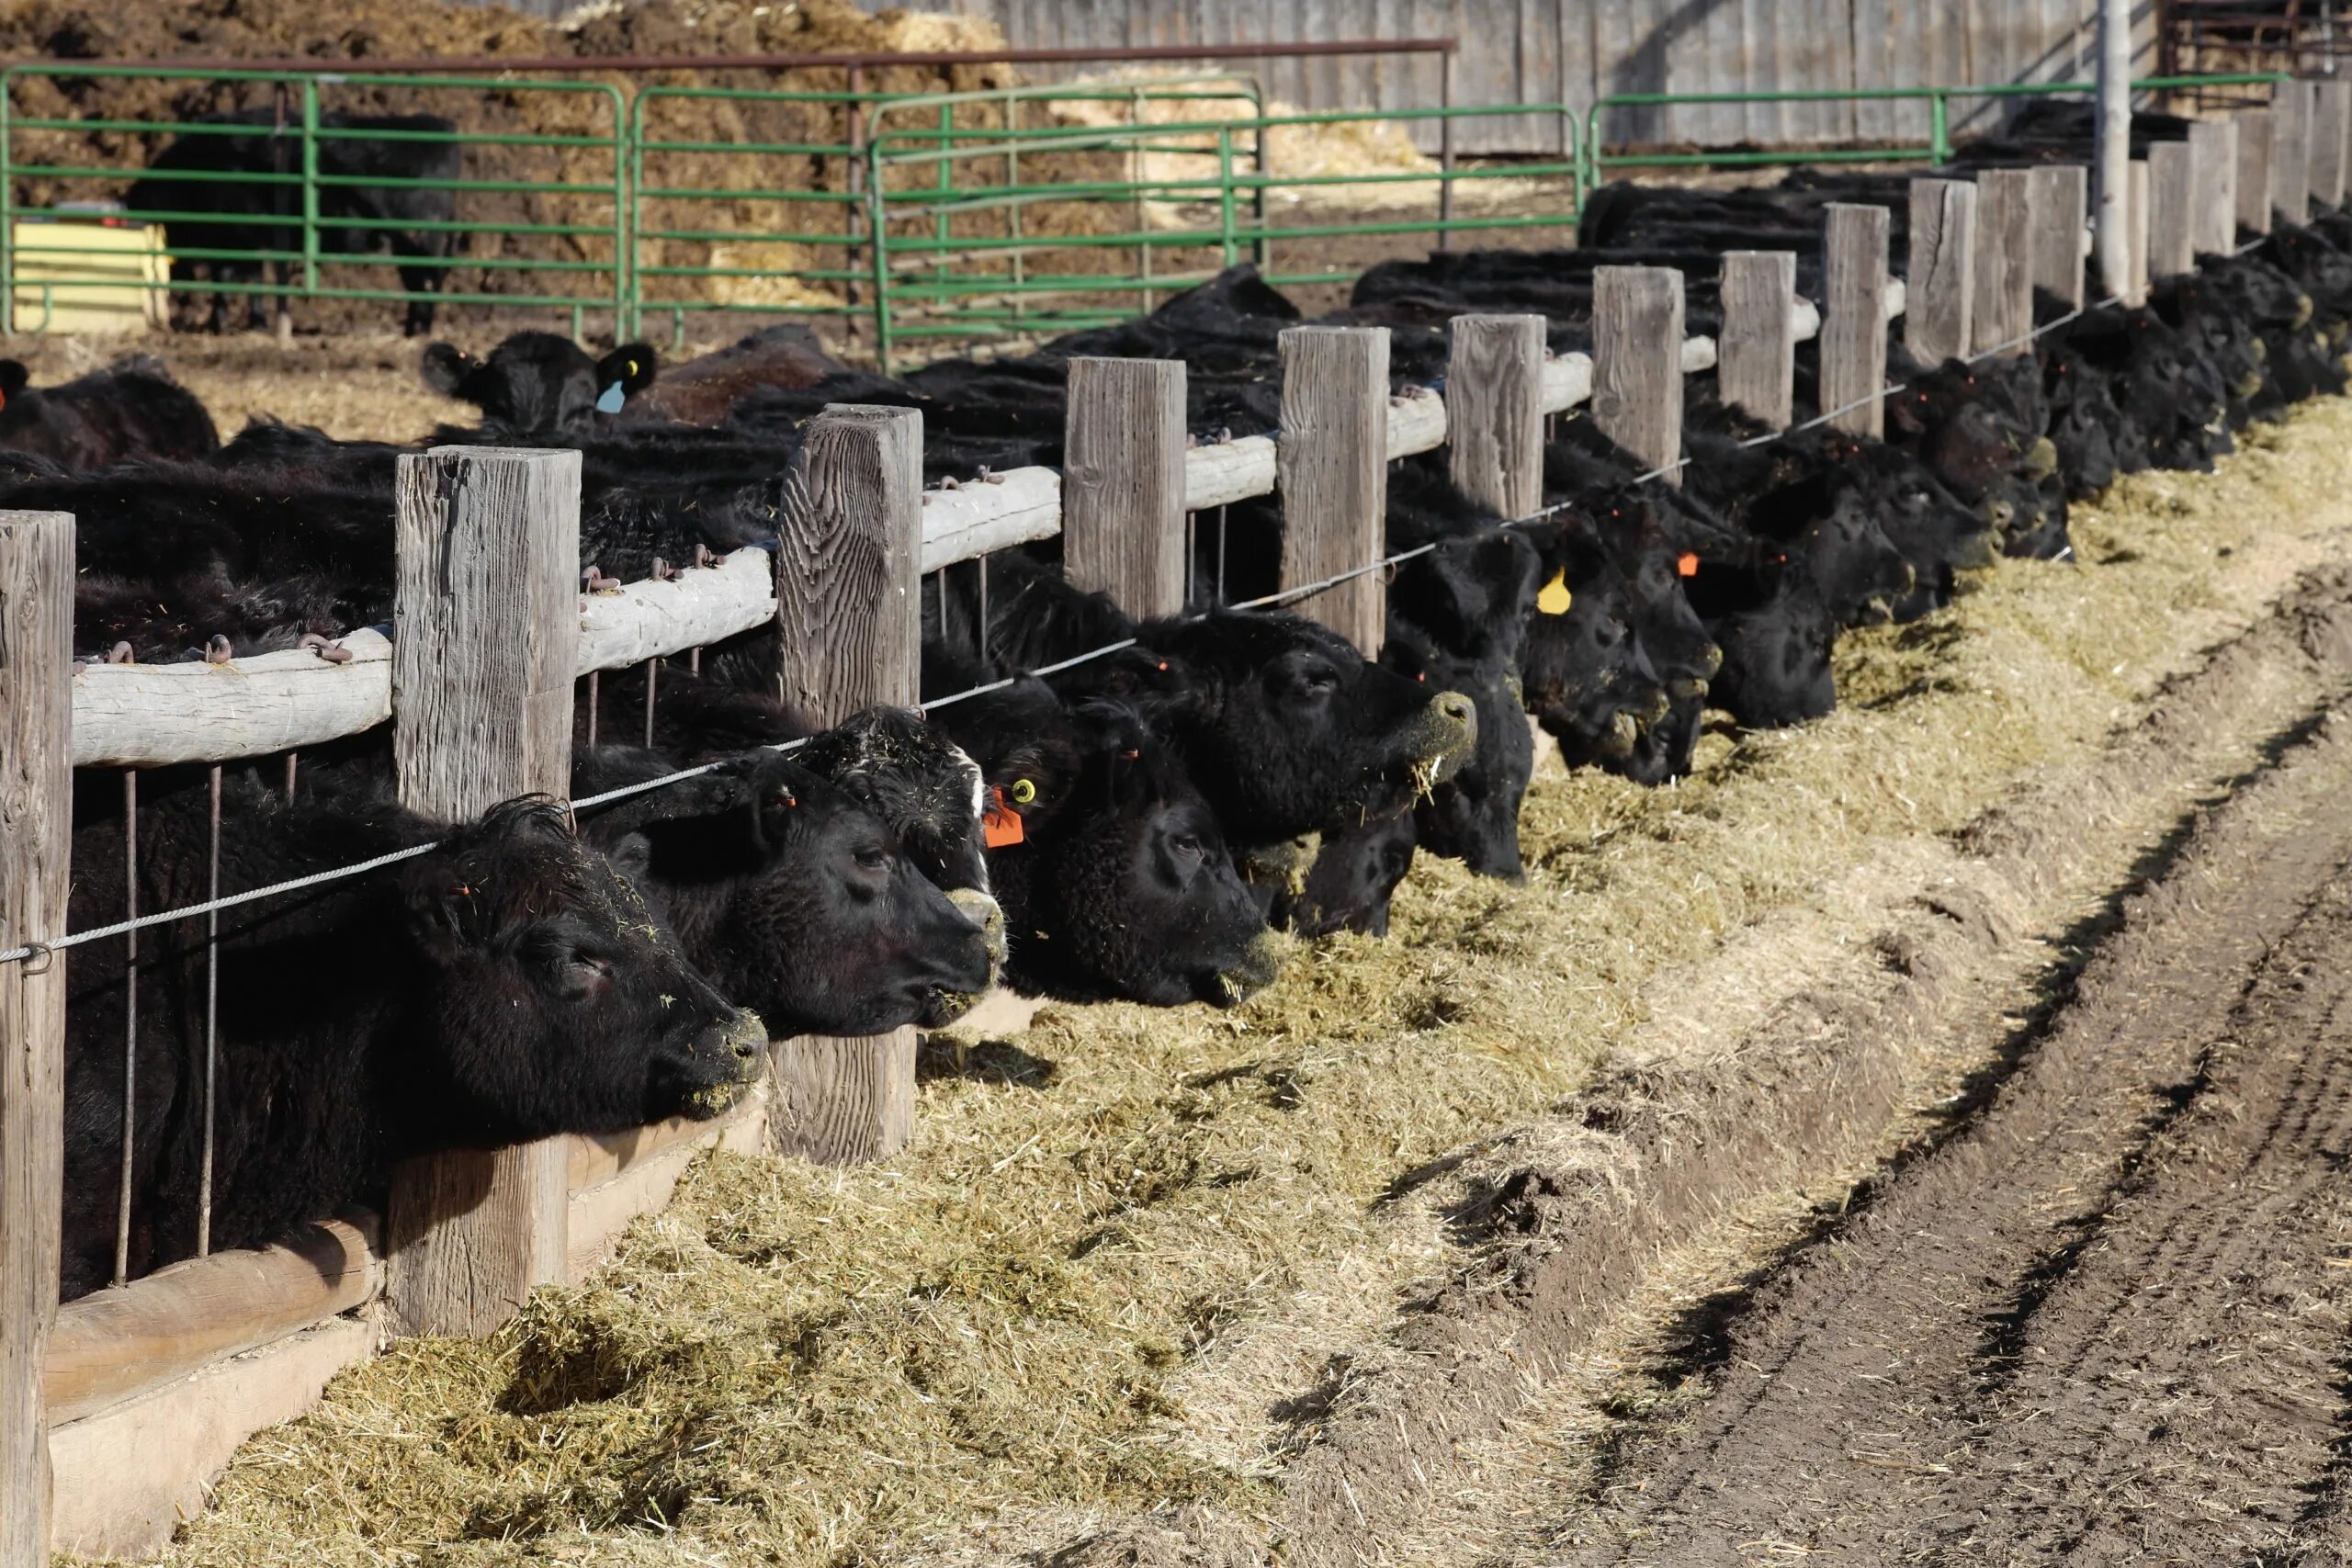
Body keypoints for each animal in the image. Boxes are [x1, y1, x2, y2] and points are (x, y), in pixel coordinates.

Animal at [125, 109, 463, 336]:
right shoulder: (249, 239)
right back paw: (414, 329)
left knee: (426, 280)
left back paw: (419, 330)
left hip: (418, 237)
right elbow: (254, 280)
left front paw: (220, 322)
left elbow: (228, 279)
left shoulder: (234, 237)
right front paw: (256, 322)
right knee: (420, 281)